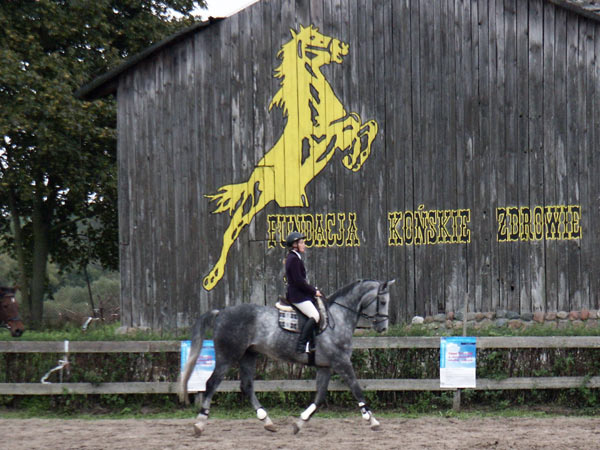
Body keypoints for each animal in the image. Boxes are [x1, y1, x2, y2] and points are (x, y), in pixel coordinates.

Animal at [178, 280, 394, 434]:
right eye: (383, 302)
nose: (383, 328)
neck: (338, 318)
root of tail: (221, 312)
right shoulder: (341, 362)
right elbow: (356, 389)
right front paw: (372, 420)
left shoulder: (325, 366)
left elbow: (319, 397)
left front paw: (300, 423)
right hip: (227, 356)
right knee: (211, 383)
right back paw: (200, 424)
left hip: (248, 355)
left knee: (246, 386)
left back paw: (267, 421)